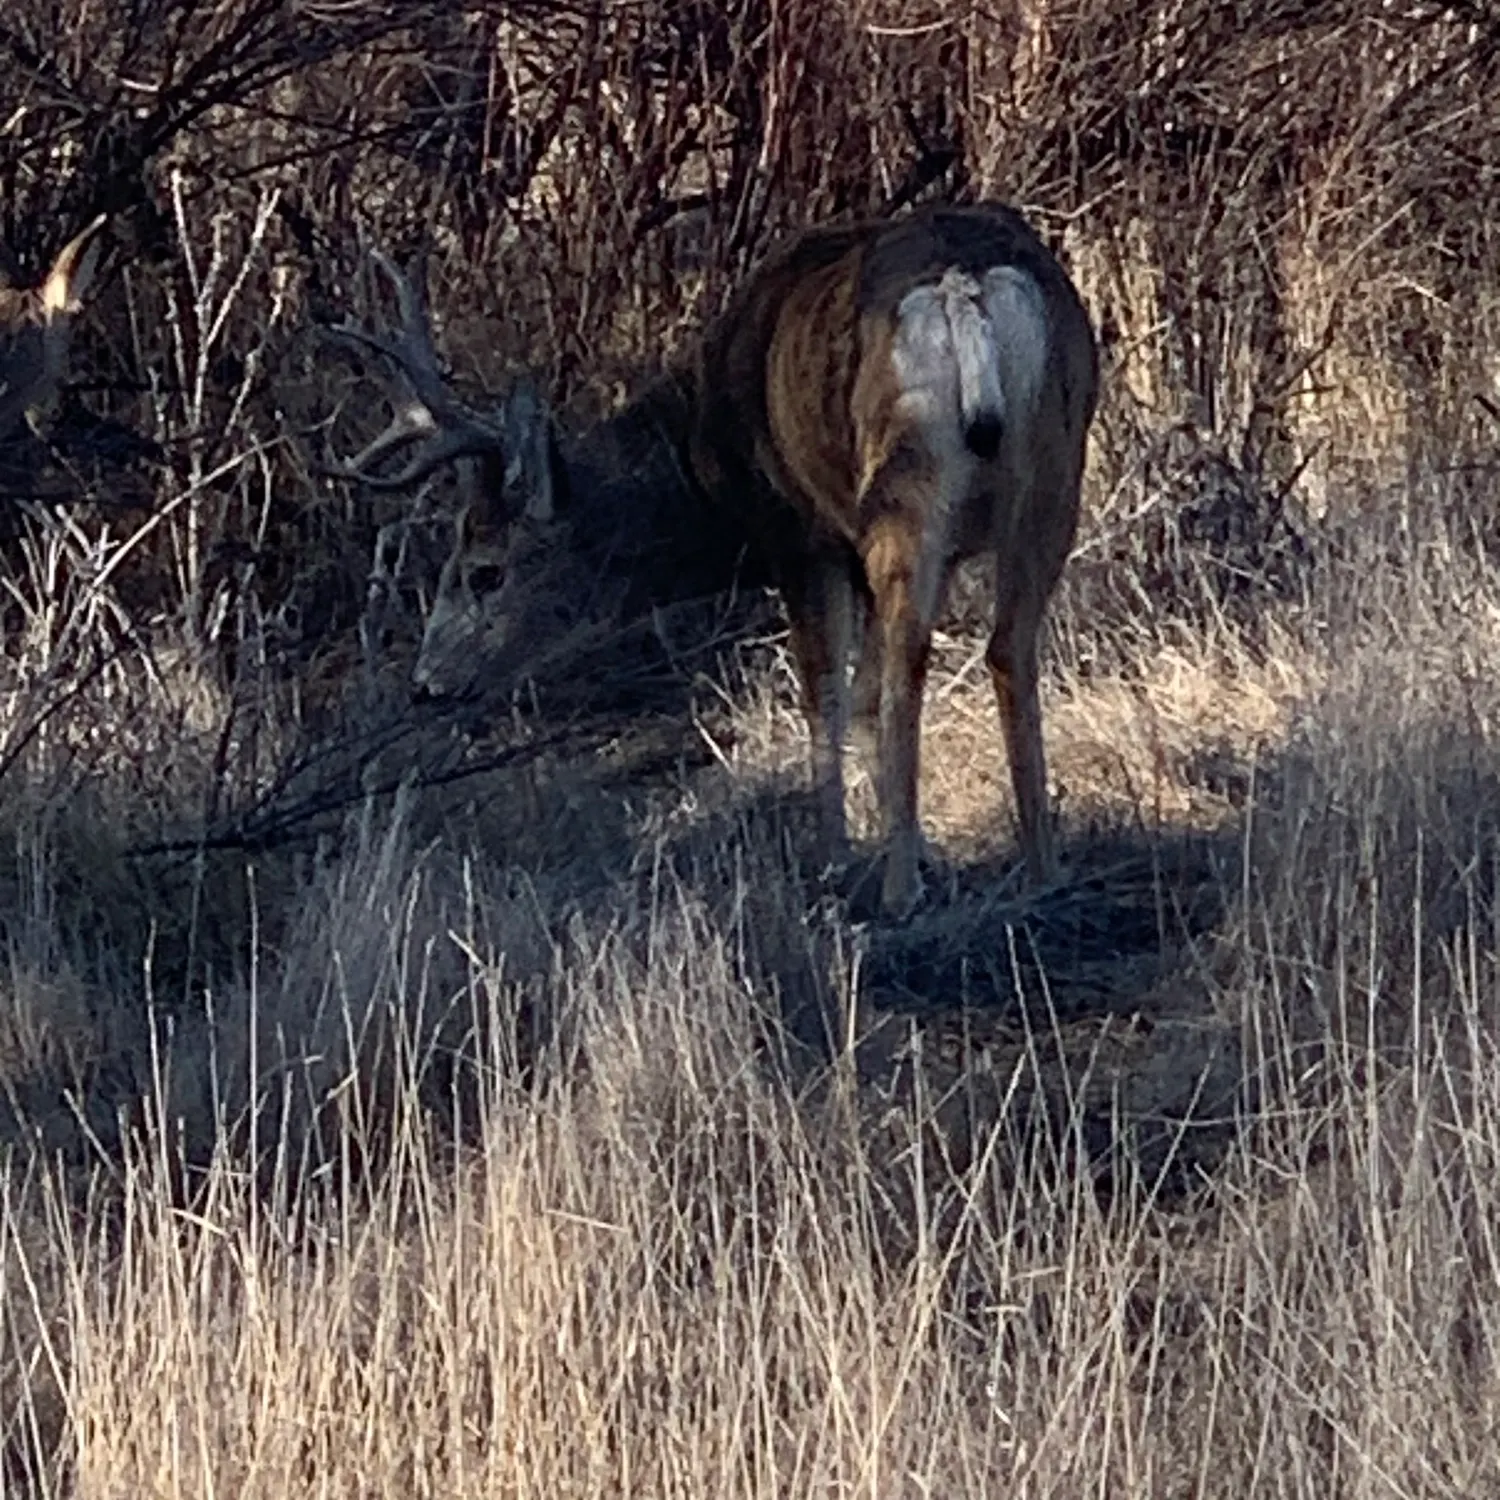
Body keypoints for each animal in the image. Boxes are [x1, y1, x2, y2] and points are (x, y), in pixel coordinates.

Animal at [331, 199, 1104, 912]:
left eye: (484, 573)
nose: (427, 683)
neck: (709, 454)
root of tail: (962, 287)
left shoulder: (801, 531)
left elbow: (826, 689)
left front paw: (838, 853)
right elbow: (859, 693)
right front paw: (903, 844)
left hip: (902, 484)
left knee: (910, 660)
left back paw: (900, 889)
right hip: (1055, 467)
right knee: (1007, 645)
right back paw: (1042, 865)